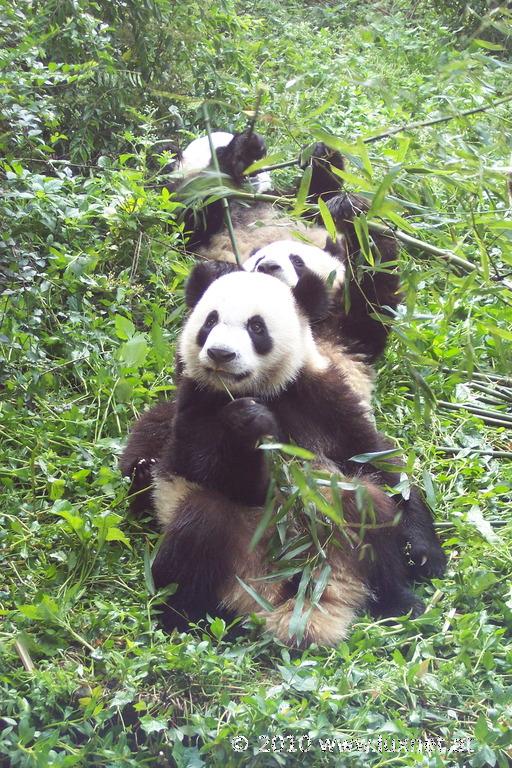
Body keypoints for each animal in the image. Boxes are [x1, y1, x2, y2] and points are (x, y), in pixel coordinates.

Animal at [146, 268, 438, 644]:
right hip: (226, 553)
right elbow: (211, 469)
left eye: (256, 327)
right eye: (210, 321)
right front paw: (250, 425)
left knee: (367, 507)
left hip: (343, 537)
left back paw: (399, 603)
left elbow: (374, 458)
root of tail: (282, 593)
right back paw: (182, 618)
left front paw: (423, 553)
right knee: (201, 524)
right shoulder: (196, 402)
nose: (221, 354)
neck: (259, 389)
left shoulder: (319, 396)